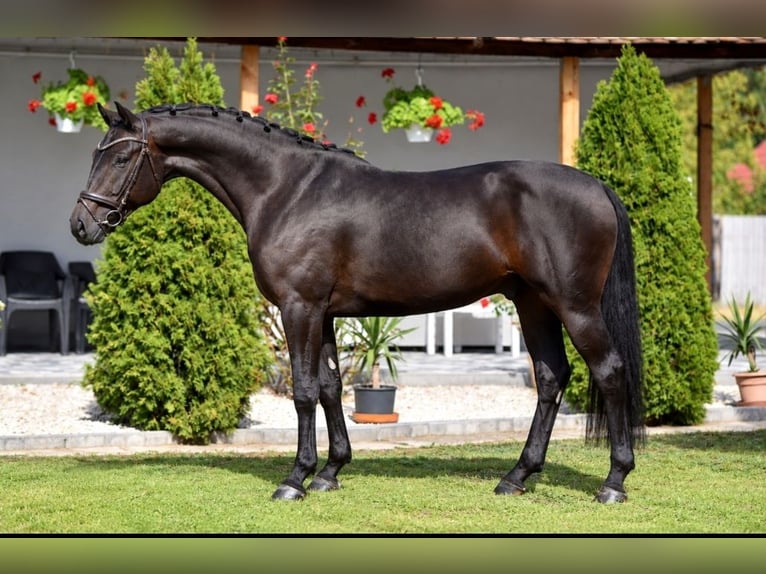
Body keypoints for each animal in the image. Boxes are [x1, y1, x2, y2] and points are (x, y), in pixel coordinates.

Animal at [70, 102, 644, 504]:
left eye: (120, 155)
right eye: (95, 153)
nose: (81, 225)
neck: (287, 190)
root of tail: (595, 186)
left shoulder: (298, 307)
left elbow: (303, 391)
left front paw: (295, 479)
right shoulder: (322, 313)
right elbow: (329, 387)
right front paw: (330, 472)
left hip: (574, 306)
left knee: (609, 372)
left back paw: (614, 482)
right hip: (533, 304)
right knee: (551, 378)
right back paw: (516, 477)